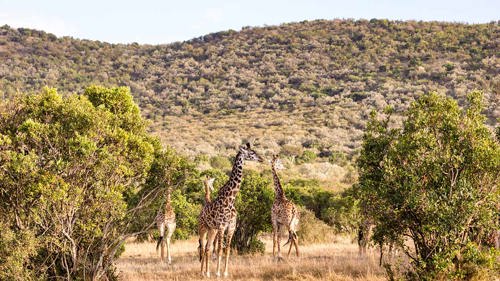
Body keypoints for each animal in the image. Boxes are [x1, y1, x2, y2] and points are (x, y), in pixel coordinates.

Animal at [197, 142, 264, 276]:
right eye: (251, 153)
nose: (261, 159)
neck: (230, 199)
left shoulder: (231, 227)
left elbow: (227, 250)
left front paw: (225, 273)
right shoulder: (222, 227)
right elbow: (219, 250)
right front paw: (218, 273)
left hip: (212, 230)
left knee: (207, 248)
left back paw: (207, 273)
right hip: (203, 228)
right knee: (202, 247)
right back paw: (202, 272)